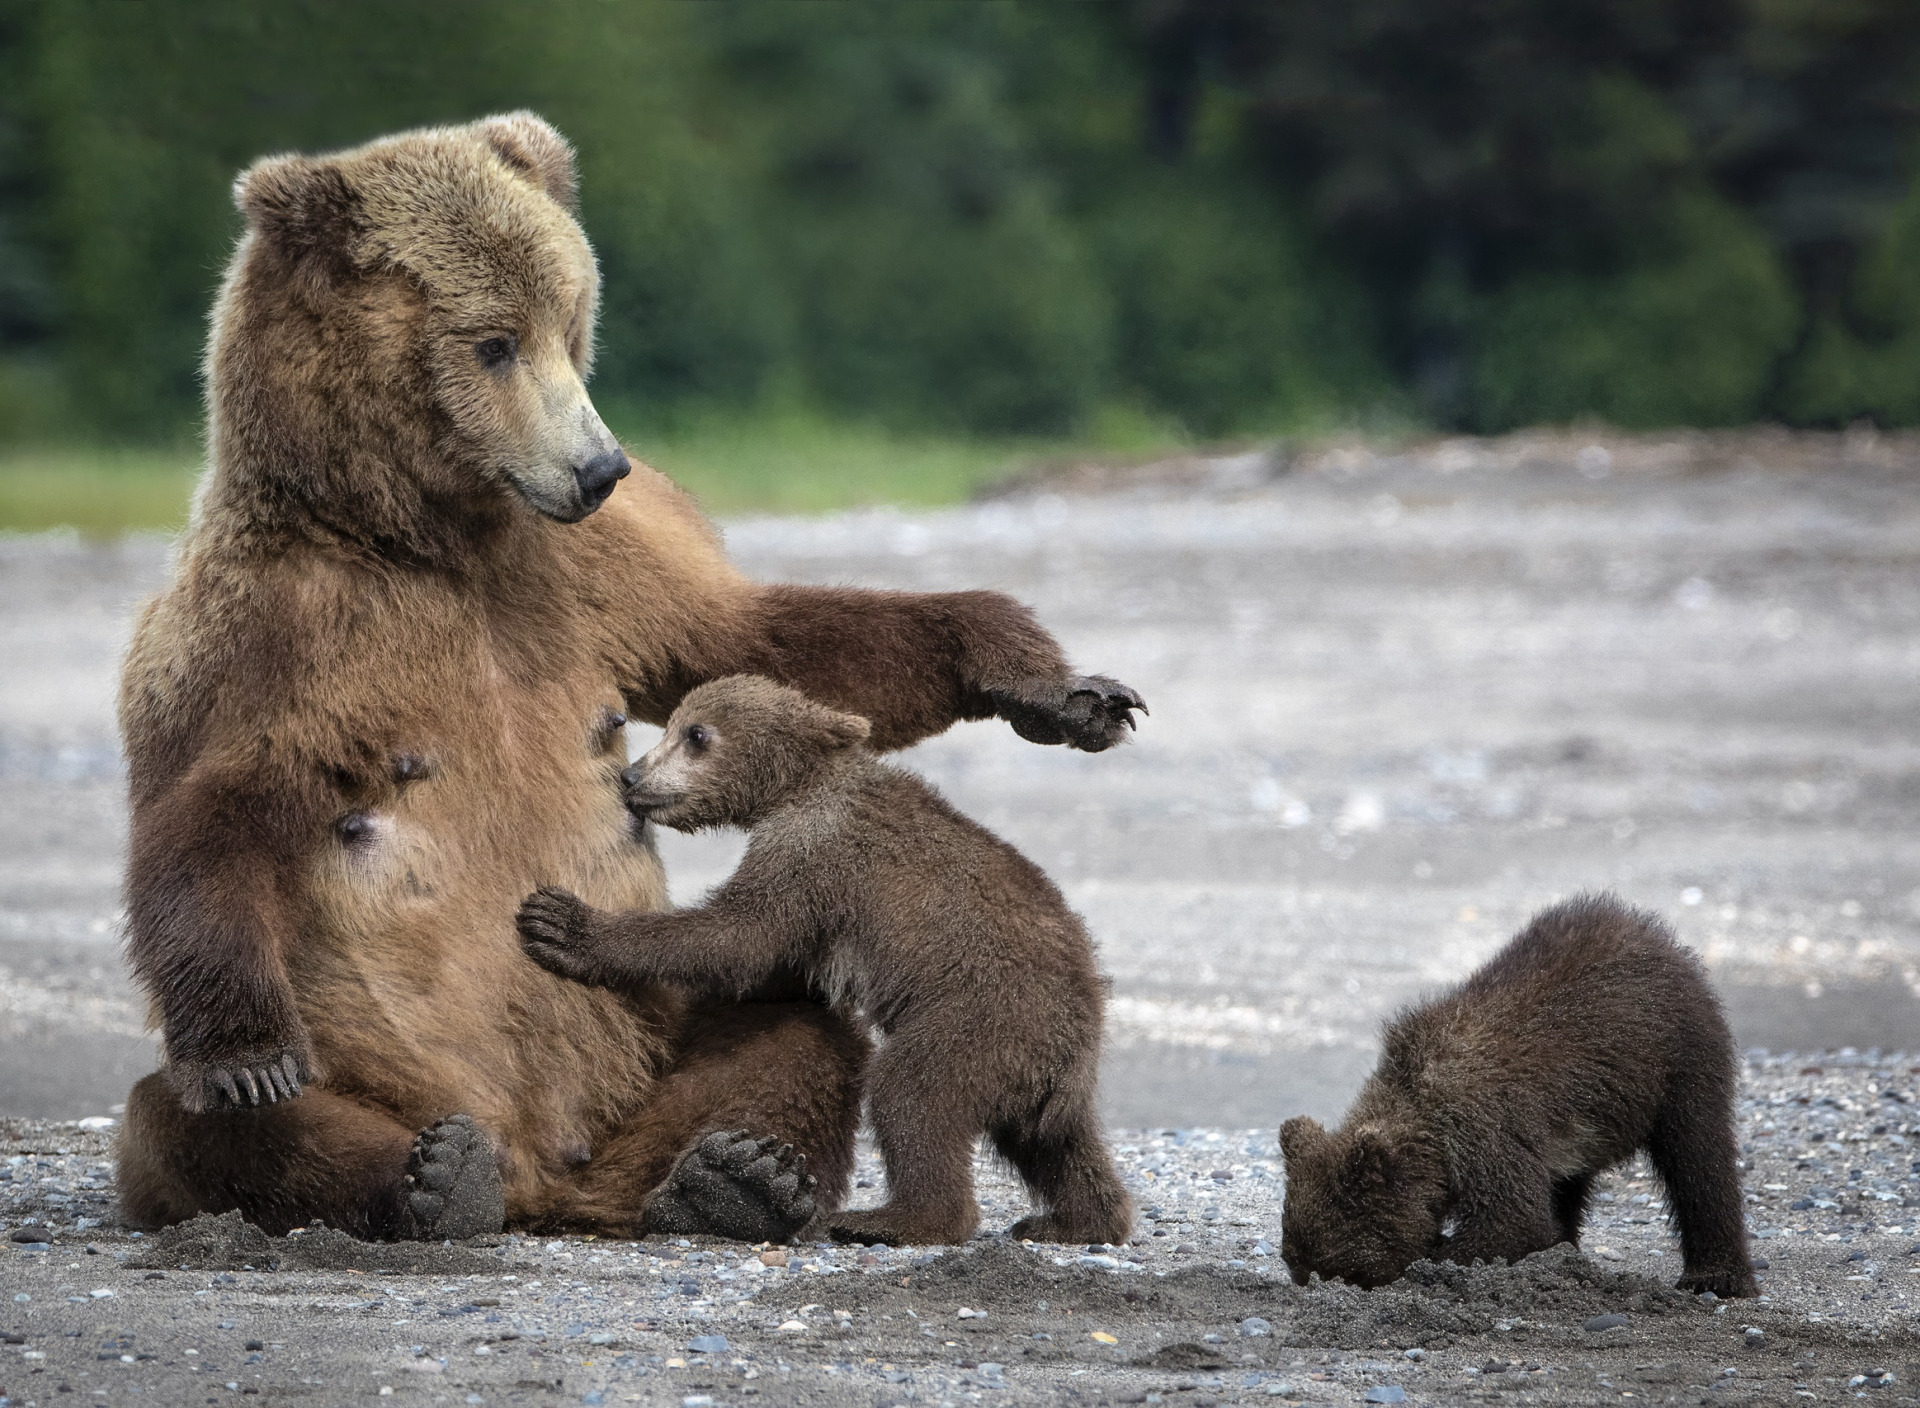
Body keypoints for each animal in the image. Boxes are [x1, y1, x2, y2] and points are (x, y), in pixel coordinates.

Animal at [116, 118, 1136, 1244]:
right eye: (494, 342)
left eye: (570, 324)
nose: (601, 466)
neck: (433, 540)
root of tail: (549, 1182)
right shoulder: (271, 630)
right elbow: (207, 813)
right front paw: (247, 1057)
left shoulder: (592, 576)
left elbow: (755, 640)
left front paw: (1055, 685)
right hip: (378, 1070)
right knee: (187, 1124)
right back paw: (432, 1178)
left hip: (648, 1061)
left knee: (794, 1031)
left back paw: (731, 1177)